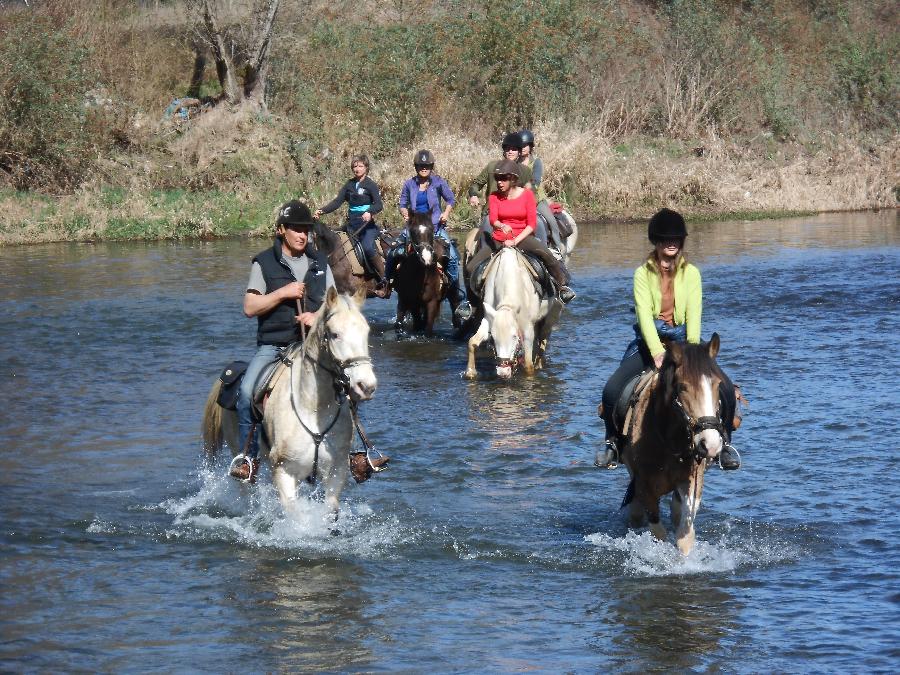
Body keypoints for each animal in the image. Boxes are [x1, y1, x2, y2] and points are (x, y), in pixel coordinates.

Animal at [201, 288, 376, 520]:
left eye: (366, 332)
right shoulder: (284, 471)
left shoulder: (335, 472)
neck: (313, 408)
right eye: (335, 334)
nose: (366, 386)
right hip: (238, 451)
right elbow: (296, 517)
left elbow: (330, 511)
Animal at [464, 248, 564, 380]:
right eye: (493, 337)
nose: (503, 372)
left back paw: (540, 364)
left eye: (514, 336)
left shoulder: (527, 329)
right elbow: (472, 342)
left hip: (550, 317)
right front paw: (470, 372)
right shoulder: (488, 318)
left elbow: (528, 365)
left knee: (543, 341)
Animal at [616, 334, 728, 556]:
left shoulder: (692, 480)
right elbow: (658, 533)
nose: (710, 444)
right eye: (683, 387)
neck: (669, 441)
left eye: (717, 384)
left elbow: (685, 535)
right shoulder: (645, 486)